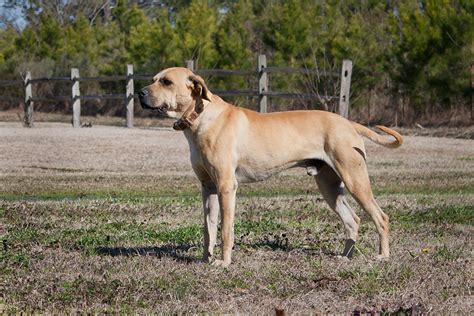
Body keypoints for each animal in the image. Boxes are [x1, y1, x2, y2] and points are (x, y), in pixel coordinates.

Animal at [139, 67, 402, 266]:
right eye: (154, 79)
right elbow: (209, 228)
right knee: (352, 220)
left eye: (166, 82)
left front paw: (224, 262)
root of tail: (349, 123)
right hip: (329, 185)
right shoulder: (208, 187)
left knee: (381, 217)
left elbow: (225, 229)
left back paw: (382, 256)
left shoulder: (226, 186)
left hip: (355, 179)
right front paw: (206, 259)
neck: (201, 117)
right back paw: (345, 257)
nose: (140, 93)